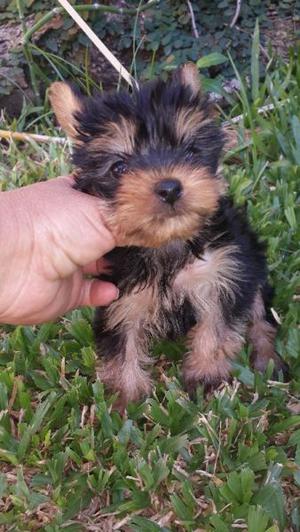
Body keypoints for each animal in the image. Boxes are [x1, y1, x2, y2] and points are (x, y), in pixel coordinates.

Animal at [48, 63, 286, 412]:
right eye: (119, 168)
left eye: (189, 151)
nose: (170, 187)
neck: (169, 243)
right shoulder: (123, 297)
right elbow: (122, 343)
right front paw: (125, 399)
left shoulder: (224, 273)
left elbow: (216, 328)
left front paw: (206, 376)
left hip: (252, 262)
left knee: (258, 312)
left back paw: (267, 358)